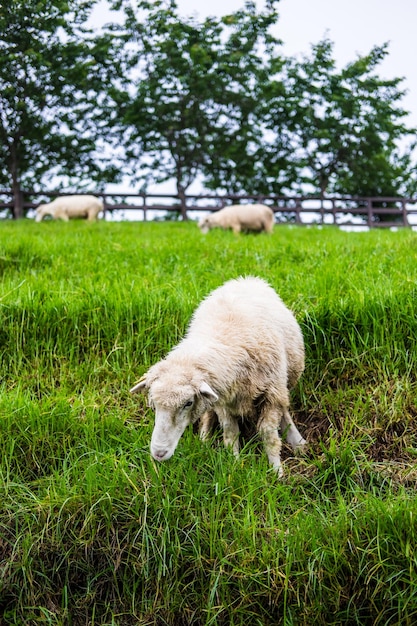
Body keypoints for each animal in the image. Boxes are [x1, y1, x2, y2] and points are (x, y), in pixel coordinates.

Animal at [130, 276, 306, 476]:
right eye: (153, 404)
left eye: (188, 403)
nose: (159, 453)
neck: (227, 337)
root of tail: (245, 279)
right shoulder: (224, 400)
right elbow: (230, 432)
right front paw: (235, 464)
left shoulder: (272, 394)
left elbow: (268, 433)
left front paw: (276, 471)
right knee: (209, 414)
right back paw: (204, 439)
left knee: (284, 410)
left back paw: (297, 441)